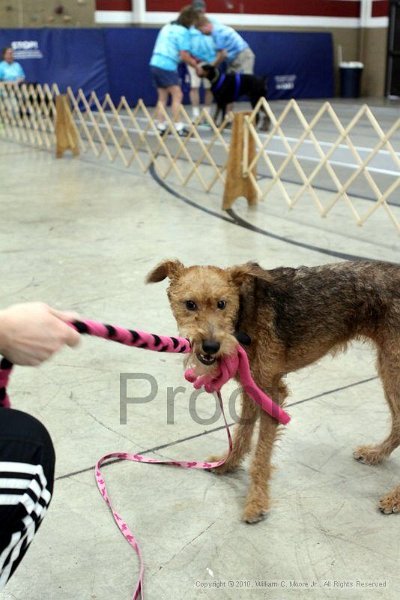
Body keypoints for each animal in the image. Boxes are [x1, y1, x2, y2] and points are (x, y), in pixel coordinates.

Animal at [147, 260, 400, 524]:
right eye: (190, 304)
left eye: (222, 303)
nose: (210, 346)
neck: (244, 314)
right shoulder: (251, 387)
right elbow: (243, 434)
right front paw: (227, 464)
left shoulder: (271, 392)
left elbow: (261, 453)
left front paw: (256, 502)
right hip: (387, 368)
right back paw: (376, 454)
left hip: (393, 370)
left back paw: (394, 498)